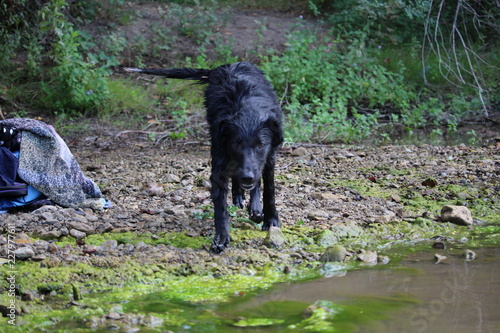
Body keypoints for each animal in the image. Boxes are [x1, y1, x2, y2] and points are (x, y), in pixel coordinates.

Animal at [125, 62, 284, 253]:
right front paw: (221, 237)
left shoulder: (268, 157)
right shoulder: (220, 158)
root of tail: (228, 65)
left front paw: (271, 219)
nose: (247, 177)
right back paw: (239, 195)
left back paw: (254, 206)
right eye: (236, 144)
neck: (248, 112)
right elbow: (220, 205)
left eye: (261, 145)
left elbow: (269, 191)